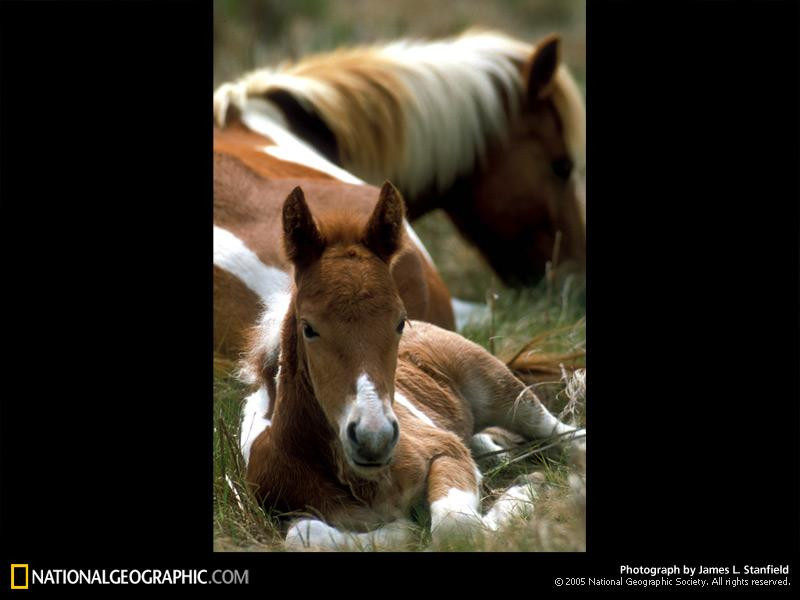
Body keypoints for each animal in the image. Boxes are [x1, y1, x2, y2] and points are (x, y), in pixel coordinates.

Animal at [241, 185, 584, 552]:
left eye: (399, 321)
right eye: (309, 328)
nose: (373, 438)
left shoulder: (444, 450)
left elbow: (457, 527)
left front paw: (525, 489)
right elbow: (305, 534)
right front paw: (404, 528)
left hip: (502, 389)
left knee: (562, 432)